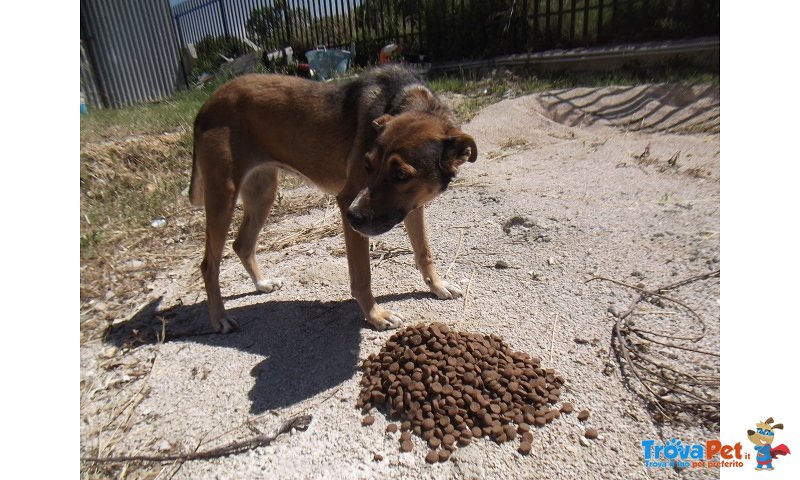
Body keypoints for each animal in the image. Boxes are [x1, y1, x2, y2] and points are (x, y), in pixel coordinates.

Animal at [188, 64, 476, 334]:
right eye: (368, 165)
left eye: (401, 175)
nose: (352, 217)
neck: (405, 99)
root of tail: (207, 104)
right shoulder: (349, 198)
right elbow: (362, 276)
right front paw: (375, 316)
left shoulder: (412, 207)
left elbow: (424, 252)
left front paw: (437, 286)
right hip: (223, 196)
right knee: (208, 264)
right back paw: (220, 318)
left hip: (263, 192)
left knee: (242, 244)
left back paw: (262, 283)